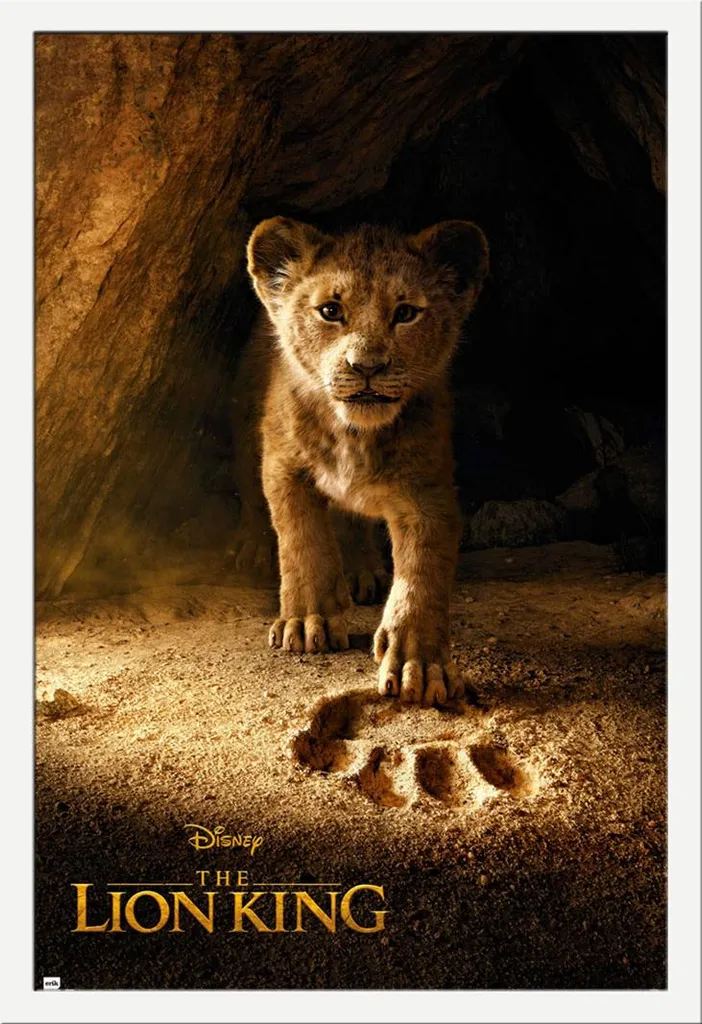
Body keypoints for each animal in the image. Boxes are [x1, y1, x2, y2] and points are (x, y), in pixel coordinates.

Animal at [233, 217, 489, 705]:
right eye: (330, 311)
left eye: (406, 313)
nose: (366, 366)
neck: (355, 434)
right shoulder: (283, 466)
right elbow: (302, 540)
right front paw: (307, 621)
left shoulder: (428, 492)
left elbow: (422, 574)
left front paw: (419, 664)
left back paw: (360, 570)